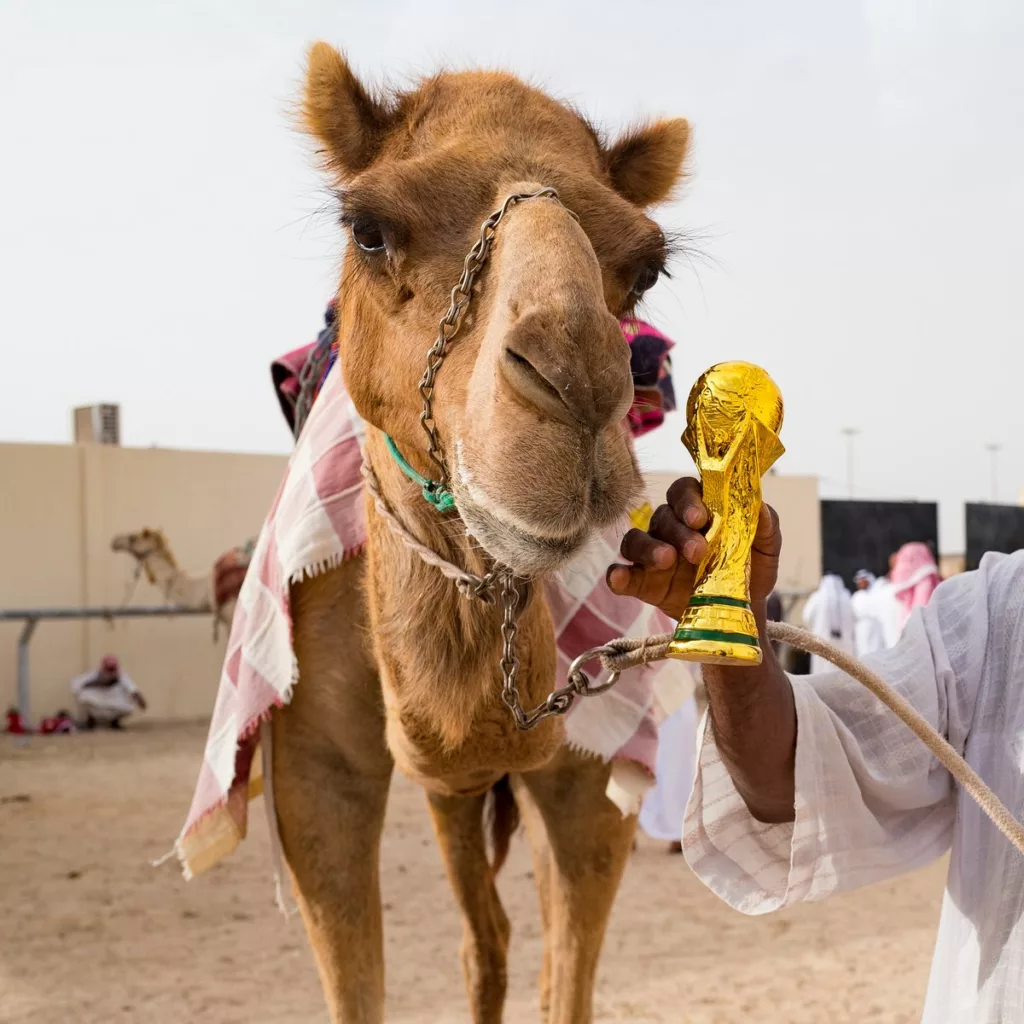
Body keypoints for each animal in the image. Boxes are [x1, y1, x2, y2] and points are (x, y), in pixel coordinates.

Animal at [271, 43, 691, 1023]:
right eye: (368, 228)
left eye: (647, 268)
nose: (576, 384)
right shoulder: (314, 773)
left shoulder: (586, 768)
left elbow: (566, 976)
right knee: (483, 941)